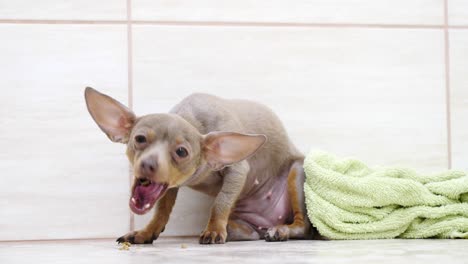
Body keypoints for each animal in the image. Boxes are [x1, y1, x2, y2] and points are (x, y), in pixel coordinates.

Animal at [84, 87, 312, 243]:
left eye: (181, 152)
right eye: (139, 139)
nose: (148, 164)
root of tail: (269, 221)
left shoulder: (238, 169)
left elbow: (220, 202)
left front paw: (214, 229)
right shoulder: (169, 187)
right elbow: (162, 210)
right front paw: (147, 232)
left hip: (296, 174)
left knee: (304, 227)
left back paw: (282, 230)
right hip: (250, 227)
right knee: (252, 233)